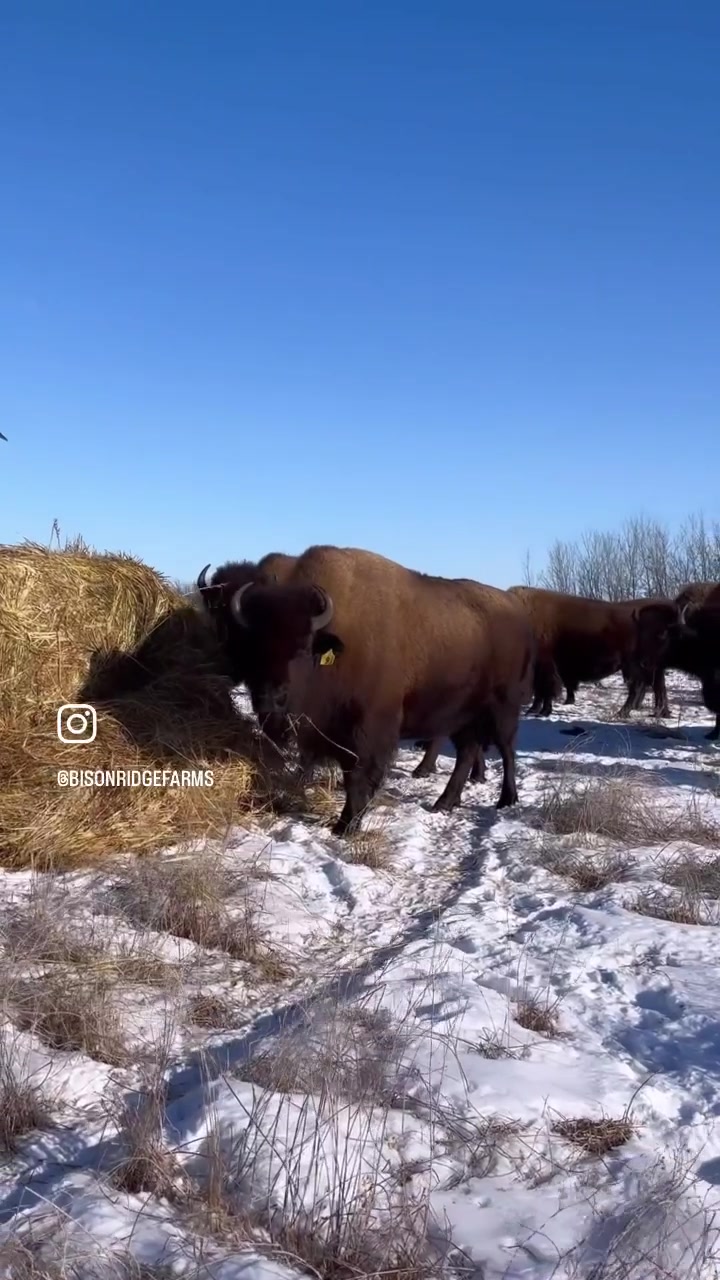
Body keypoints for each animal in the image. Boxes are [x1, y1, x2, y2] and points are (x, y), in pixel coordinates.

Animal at [200, 545, 535, 834]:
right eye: (254, 647)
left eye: (304, 648)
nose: (272, 698)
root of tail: (516, 611)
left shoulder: (367, 729)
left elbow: (358, 775)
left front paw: (345, 826)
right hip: (462, 716)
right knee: (467, 753)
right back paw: (444, 803)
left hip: (503, 707)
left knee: (506, 750)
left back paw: (506, 799)